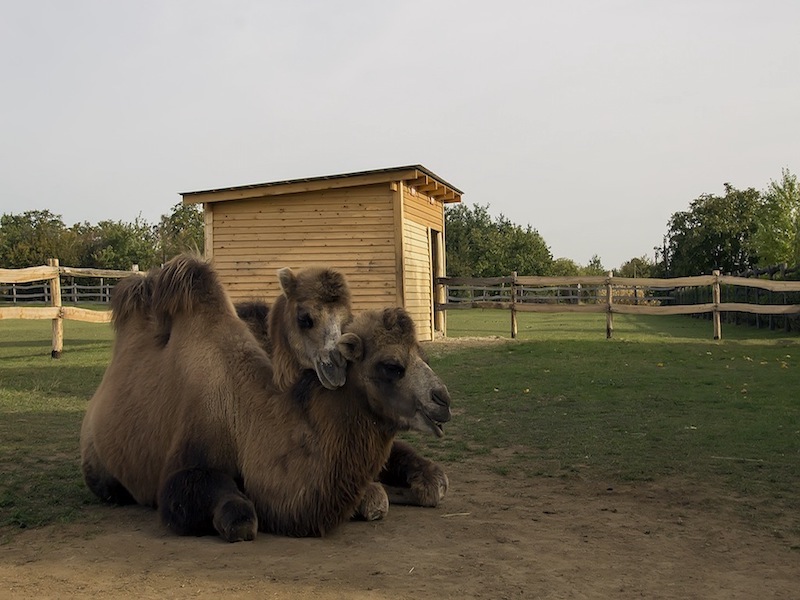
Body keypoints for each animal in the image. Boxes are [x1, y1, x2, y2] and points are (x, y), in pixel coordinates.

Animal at [83, 253, 454, 540]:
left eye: (421, 353)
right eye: (391, 365)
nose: (443, 400)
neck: (245, 417)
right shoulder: (185, 469)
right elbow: (240, 518)